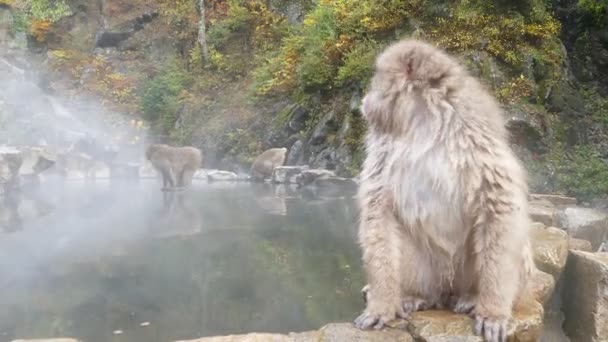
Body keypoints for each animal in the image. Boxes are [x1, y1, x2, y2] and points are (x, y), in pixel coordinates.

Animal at [354, 38, 536, 342]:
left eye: (376, 79)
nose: (364, 100)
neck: (421, 124)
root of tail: (446, 290)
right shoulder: (383, 150)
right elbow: (378, 213)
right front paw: (381, 305)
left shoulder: (476, 140)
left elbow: (498, 206)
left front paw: (493, 311)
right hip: (430, 273)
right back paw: (412, 296)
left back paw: (473, 298)